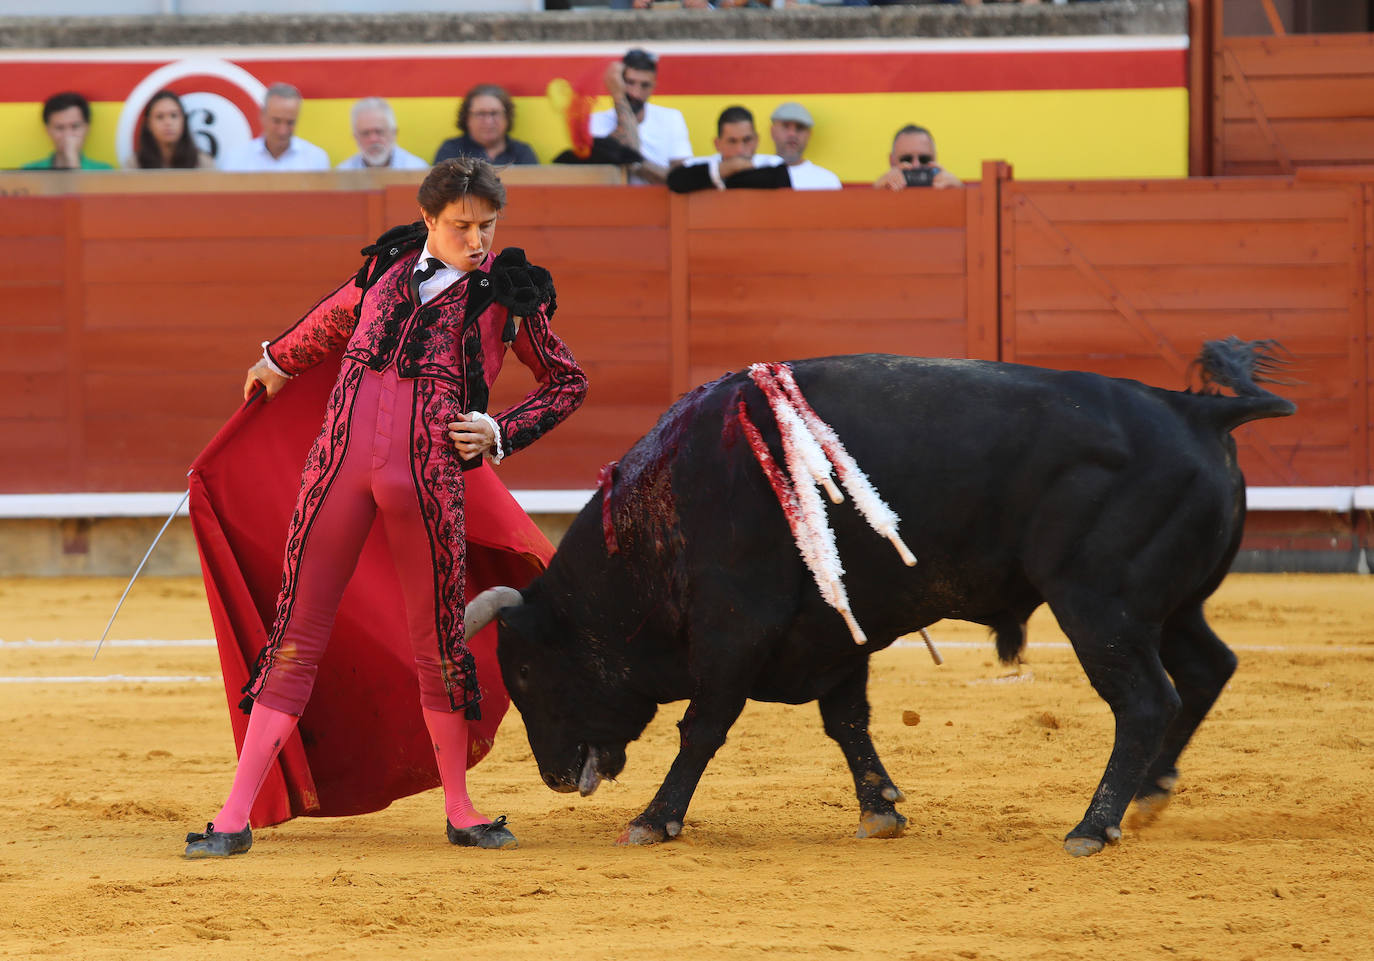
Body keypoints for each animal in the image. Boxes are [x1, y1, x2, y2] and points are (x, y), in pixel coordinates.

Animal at [467, 339, 1291, 857]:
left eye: (528, 673)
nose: (550, 775)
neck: (668, 506)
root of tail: (1195, 410)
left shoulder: (736, 625)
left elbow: (704, 725)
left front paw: (653, 820)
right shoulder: (834, 631)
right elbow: (847, 720)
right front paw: (881, 810)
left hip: (1100, 606)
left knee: (1147, 700)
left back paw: (1093, 825)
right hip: (1168, 609)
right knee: (1207, 669)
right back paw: (1149, 795)